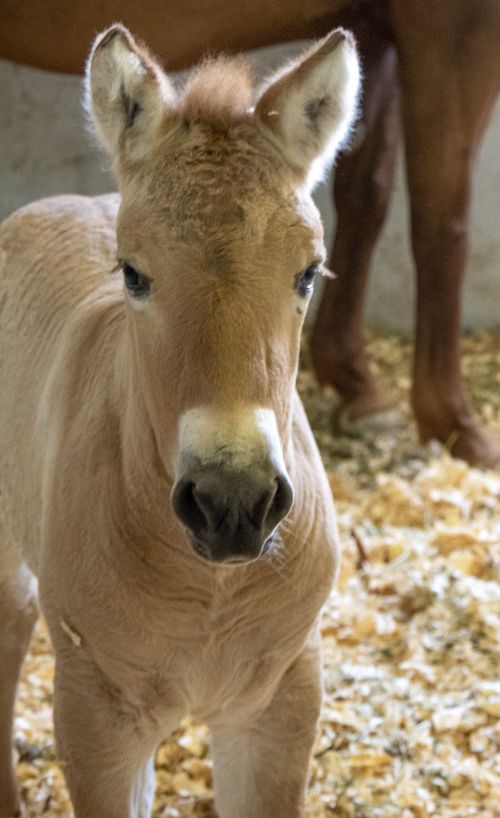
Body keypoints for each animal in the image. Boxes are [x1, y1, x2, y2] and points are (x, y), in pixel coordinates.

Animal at [0, 23, 360, 816]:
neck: (209, 592)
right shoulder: (97, 717)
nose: (233, 503)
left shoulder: (282, 704)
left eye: (309, 273)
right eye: (133, 273)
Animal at [1, 0, 498, 462]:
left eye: (311, 272)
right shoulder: (452, 25)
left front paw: (357, 383)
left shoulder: (377, 29)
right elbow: (442, 225)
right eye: (131, 273)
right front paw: (457, 423)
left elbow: (366, 193)